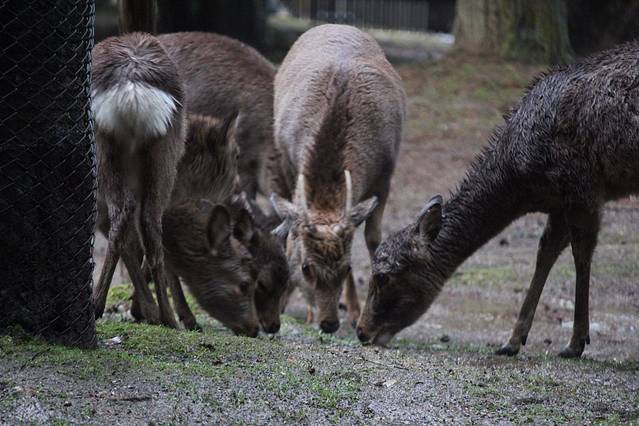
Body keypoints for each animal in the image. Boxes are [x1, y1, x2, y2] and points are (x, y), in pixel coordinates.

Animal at [91, 32, 185, 328]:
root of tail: (132, 93)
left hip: (106, 149)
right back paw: (164, 316)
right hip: (161, 150)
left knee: (128, 218)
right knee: (146, 222)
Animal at [270, 24, 406, 334]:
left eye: (346, 267)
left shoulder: (386, 174)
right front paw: (304, 310)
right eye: (306, 267)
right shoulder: (289, 161)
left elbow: (373, 239)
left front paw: (362, 313)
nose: (329, 323)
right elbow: (291, 234)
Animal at [357, 41, 639, 358]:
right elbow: (546, 252)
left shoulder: (582, 186)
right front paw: (512, 341)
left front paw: (575, 342)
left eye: (383, 276)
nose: (361, 330)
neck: (522, 182)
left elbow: (582, 252)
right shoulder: (560, 201)